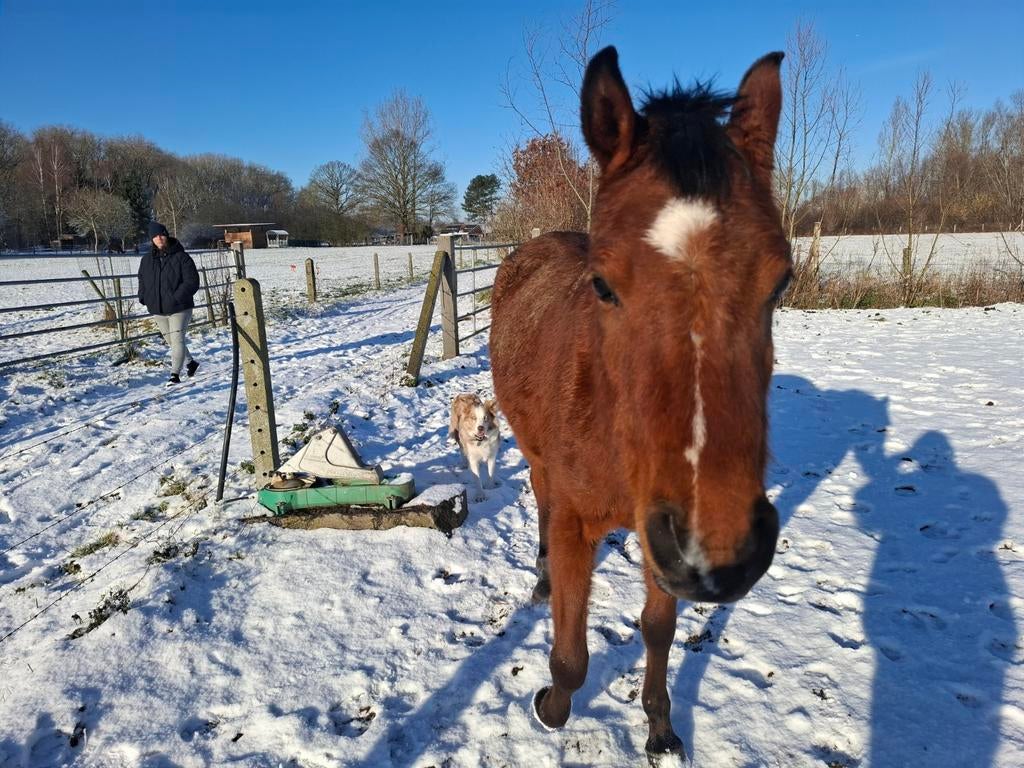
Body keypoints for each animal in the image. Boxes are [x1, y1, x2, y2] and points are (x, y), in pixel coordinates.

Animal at [489, 46, 791, 759]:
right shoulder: (583, 523)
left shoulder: (663, 534)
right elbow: (571, 655)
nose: (720, 553)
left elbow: (658, 629)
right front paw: (550, 707)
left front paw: (658, 726)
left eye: (782, 282)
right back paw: (542, 577)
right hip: (536, 458)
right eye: (603, 285)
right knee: (541, 502)